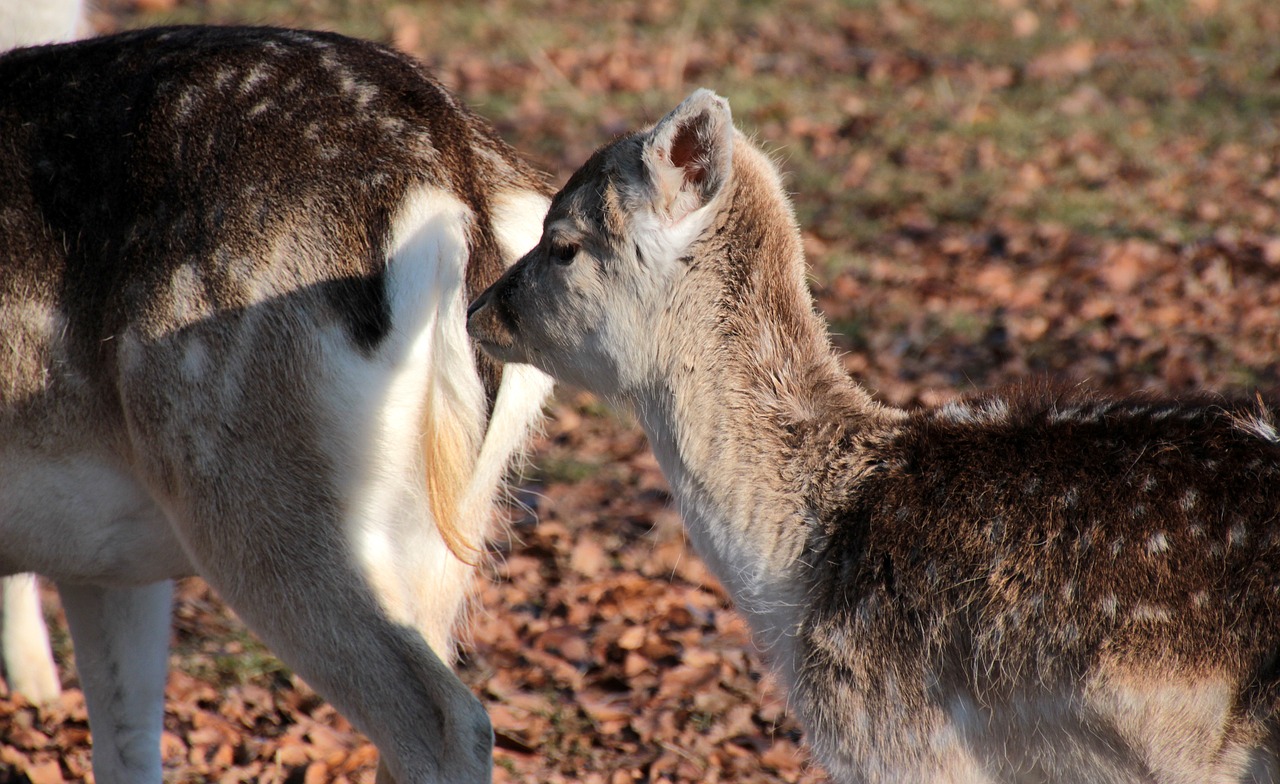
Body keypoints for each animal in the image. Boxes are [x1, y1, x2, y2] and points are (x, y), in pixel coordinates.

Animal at [0, 24, 552, 784]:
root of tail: (459, 180)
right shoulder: (100, 555)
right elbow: (129, 739)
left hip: (260, 495)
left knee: (442, 719)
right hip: (445, 527)